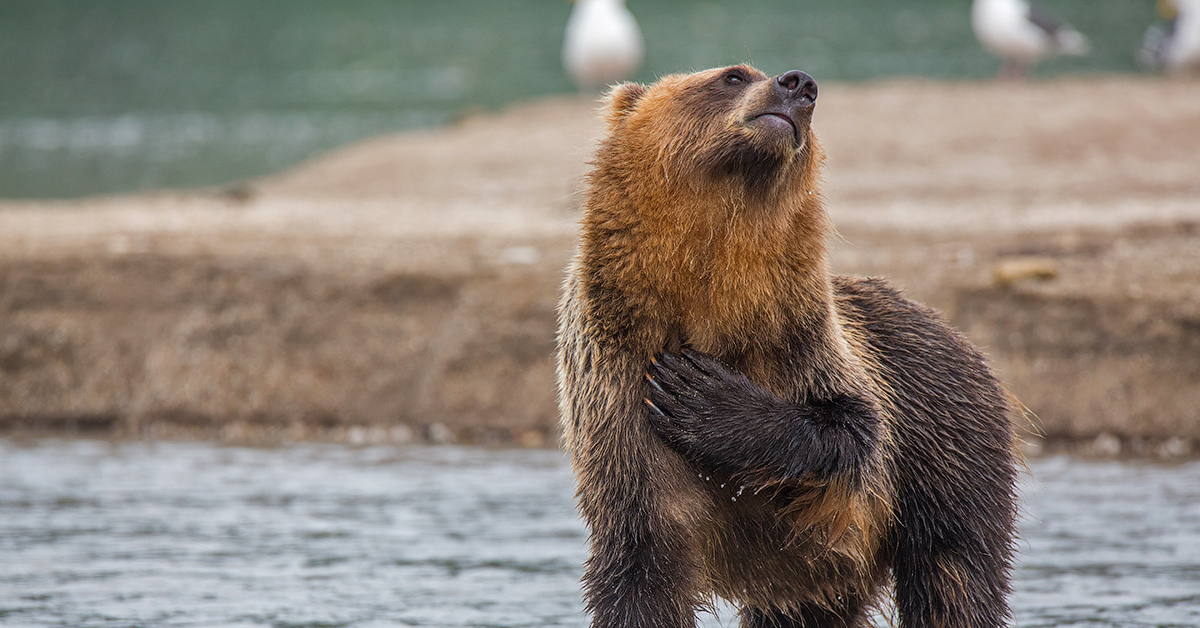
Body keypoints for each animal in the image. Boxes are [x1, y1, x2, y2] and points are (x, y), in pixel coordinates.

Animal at [556, 65, 1017, 628]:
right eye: (733, 76)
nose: (799, 84)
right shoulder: (617, 384)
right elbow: (641, 569)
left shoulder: (806, 344)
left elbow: (851, 431)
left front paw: (699, 394)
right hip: (810, 583)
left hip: (945, 447)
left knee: (954, 575)